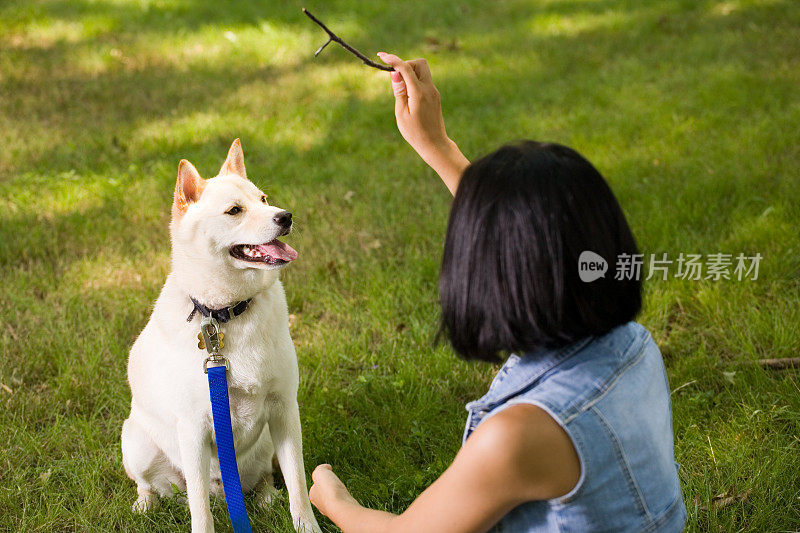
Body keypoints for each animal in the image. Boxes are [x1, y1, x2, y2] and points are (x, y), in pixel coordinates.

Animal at [120, 139, 320, 528]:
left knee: (264, 477)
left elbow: (298, 486)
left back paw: (265, 497)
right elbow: (199, 509)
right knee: (153, 486)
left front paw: (307, 526)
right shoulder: (193, 430)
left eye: (264, 199)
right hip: (136, 443)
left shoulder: (285, 410)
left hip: (265, 444)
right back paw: (144, 505)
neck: (228, 313)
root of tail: (223, 490)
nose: (285, 216)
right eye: (234, 211)